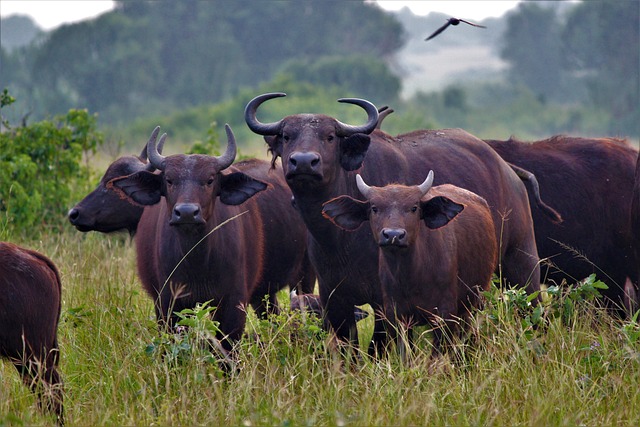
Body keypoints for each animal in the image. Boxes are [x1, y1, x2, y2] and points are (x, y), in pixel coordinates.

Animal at [109, 123, 268, 352]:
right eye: (169, 180)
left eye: (210, 180)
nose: (186, 213)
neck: (197, 260)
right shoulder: (169, 302)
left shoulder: (233, 302)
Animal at [322, 173, 498, 358]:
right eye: (374, 208)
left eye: (413, 208)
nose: (393, 235)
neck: (411, 277)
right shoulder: (396, 317)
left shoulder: (445, 314)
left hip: (476, 300)